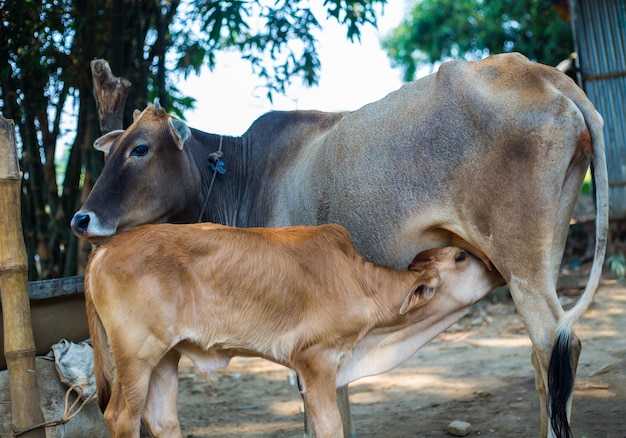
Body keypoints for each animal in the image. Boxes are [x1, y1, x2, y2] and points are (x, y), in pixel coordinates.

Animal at [84, 224, 502, 436]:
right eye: (461, 256)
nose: (497, 266)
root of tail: (103, 249)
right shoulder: (316, 360)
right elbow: (331, 425)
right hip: (136, 355)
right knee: (121, 416)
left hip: (165, 356)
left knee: (162, 419)